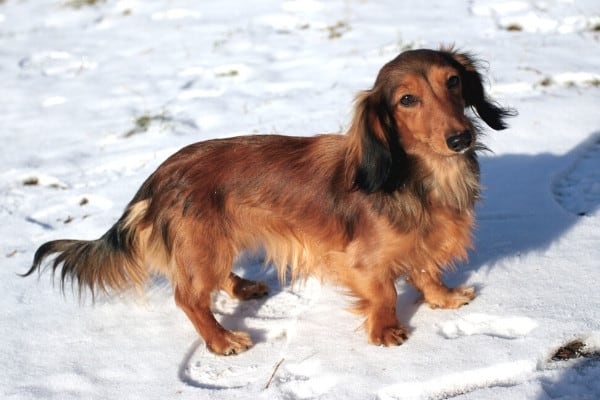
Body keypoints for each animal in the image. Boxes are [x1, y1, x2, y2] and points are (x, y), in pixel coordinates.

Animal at [24, 47, 516, 356]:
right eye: (407, 99)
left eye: (453, 81)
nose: (460, 138)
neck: (422, 177)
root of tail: (156, 178)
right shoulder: (362, 260)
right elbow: (383, 292)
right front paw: (385, 330)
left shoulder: (419, 242)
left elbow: (425, 270)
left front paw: (444, 298)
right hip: (203, 246)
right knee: (189, 298)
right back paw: (221, 341)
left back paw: (243, 287)